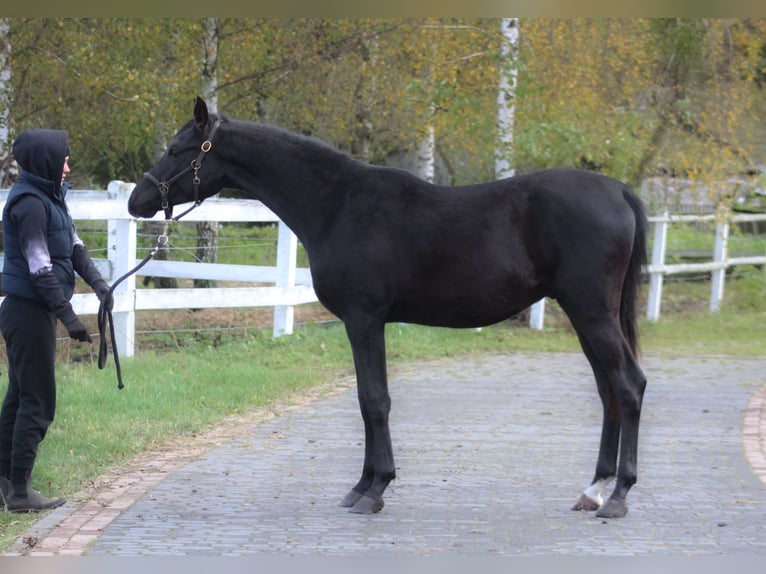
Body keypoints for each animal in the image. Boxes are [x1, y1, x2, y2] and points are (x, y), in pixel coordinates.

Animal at [128, 97, 648, 519]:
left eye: (178, 149)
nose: (137, 200)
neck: (338, 205)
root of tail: (618, 190)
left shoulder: (364, 320)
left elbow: (374, 401)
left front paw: (374, 490)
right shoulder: (364, 323)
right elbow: (366, 401)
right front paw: (362, 486)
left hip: (592, 313)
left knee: (629, 386)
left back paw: (619, 496)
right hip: (585, 316)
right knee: (608, 390)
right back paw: (594, 490)